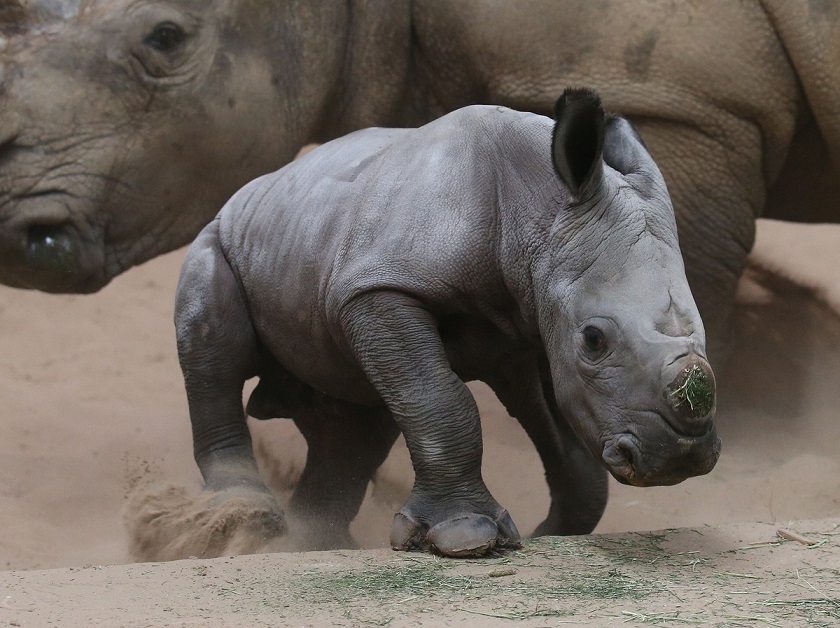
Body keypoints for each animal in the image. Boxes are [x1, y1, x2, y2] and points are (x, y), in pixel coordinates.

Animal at [177, 87, 720, 556]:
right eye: (594, 339)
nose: (677, 458)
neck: (538, 213)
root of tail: (256, 184)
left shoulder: (528, 328)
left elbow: (566, 442)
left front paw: (546, 536)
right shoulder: (379, 287)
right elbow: (440, 399)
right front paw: (465, 538)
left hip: (304, 233)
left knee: (353, 418)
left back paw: (310, 540)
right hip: (218, 237)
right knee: (212, 350)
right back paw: (243, 518)